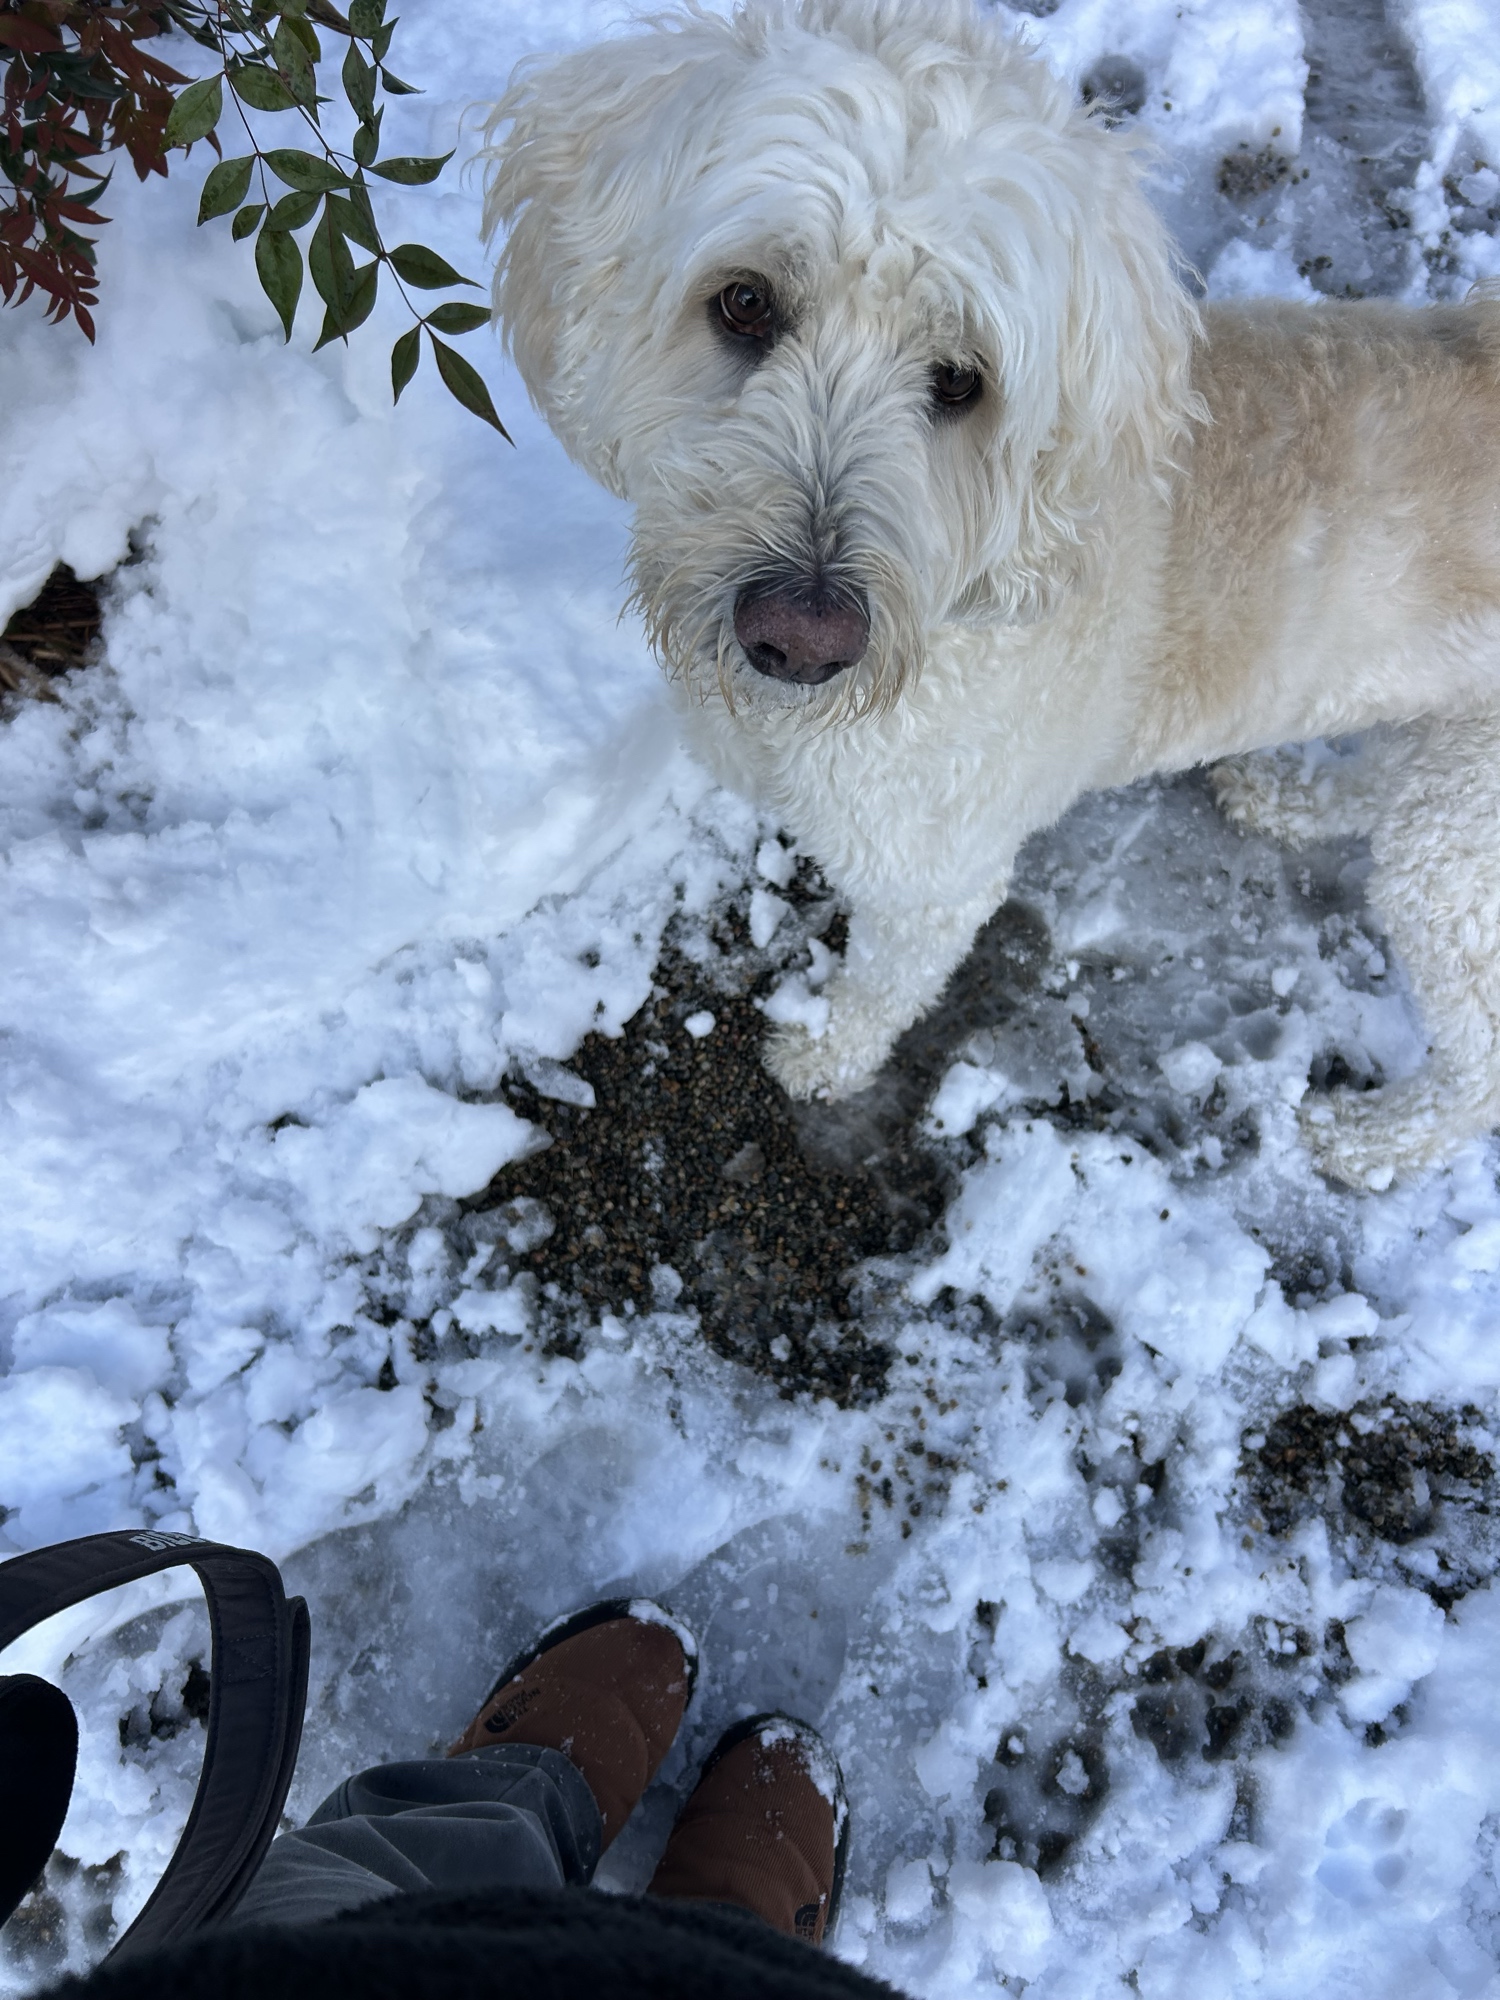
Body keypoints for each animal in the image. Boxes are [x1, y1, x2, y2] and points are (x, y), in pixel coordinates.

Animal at [482, 0, 1500, 1191]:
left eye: (962, 380)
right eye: (743, 302)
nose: (798, 637)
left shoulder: (934, 872)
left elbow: (886, 980)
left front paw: (824, 1053)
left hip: (1460, 859)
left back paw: (1376, 1141)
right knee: (1385, 790)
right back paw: (1290, 799)